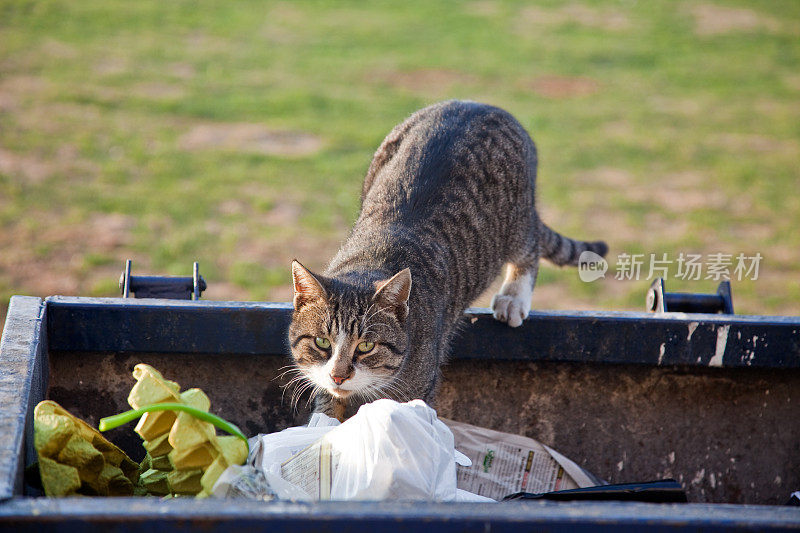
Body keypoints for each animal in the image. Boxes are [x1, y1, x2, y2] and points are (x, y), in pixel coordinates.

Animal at [288, 100, 608, 420]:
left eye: (366, 346)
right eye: (321, 342)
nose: (339, 376)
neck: (370, 261)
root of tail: (478, 103)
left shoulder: (417, 386)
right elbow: (327, 403)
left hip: (516, 222)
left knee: (530, 249)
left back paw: (514, 297)